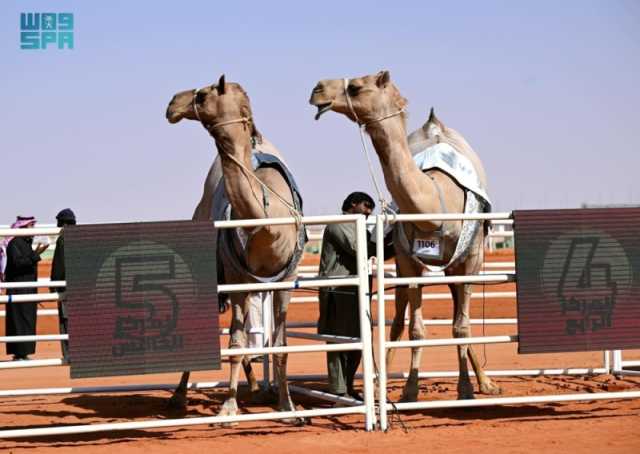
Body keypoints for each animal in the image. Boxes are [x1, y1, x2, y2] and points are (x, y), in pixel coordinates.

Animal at [165, 73, 304, 422]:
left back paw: (255, 386)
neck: (268, 225)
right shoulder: (235, 276)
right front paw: (228, 407)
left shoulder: (285, 280)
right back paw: (178, 396)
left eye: (203, 94)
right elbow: (237, 342)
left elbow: (281, 346)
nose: (173, 103)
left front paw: (288, 407)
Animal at [308, 70, 502, 400]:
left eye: (356, 87)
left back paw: (486, 382)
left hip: (459, 265)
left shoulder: (471, 258)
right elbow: (415, 328)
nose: (317, 90)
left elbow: (461, 326)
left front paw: (466, 390)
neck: (437, 203)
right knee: (399, 320)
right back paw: (377, 384)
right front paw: (409, 391)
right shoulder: (410, 260)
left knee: (459, 315)